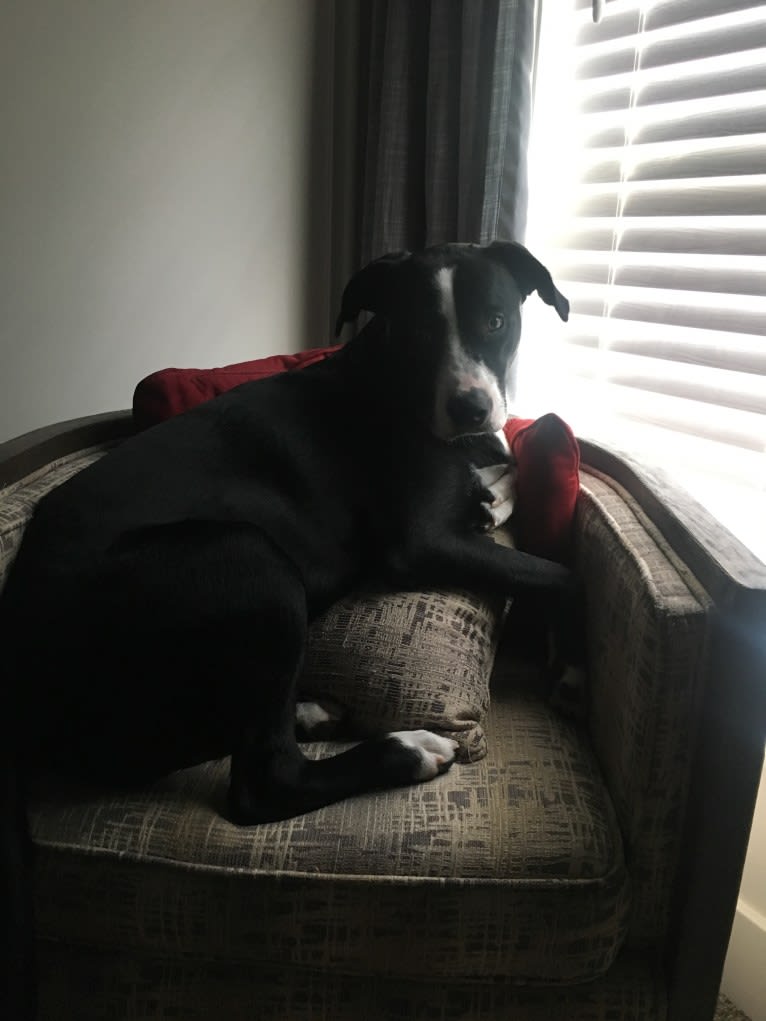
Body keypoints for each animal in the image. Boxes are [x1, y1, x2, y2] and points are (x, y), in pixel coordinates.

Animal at [0, 240, 580, 829]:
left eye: (495, 321)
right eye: (418, 331)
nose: (471, 409)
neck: (389, 378)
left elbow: (511, 467)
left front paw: (491, 498)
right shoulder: (420, 542)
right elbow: (560, 573)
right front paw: (571, 659)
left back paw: (310, 712)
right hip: (248, 558)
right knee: (267, 780)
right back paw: (407, 750)